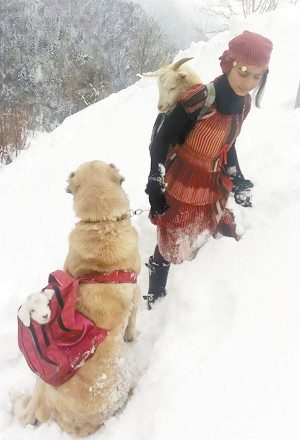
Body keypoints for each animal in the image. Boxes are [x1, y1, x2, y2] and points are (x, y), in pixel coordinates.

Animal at [11, 161, 142, 436]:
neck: (102, 224)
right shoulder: (136, 293)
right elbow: (133, 319)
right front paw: (130, 336)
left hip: (43, 381)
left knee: (28, 413)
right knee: (27, 413)